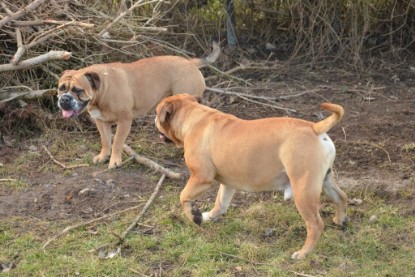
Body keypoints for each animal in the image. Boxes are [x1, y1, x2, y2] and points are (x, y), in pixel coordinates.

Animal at [58, 43, 221, 168]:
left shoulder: (124, 121)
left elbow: (117, 142)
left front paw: (115, 161)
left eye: (78, 90)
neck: (102, 89)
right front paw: (103, 156)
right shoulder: (101, 121)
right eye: (60, 88)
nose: (64, 99)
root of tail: (191, 62)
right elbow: (105, 140)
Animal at [156, 94, 348, 258]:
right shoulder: (228, 184)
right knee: (341, 197)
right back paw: (340, 221)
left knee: (315, 224)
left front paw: (194, 216)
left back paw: (303, 253)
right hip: (325, 180)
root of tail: (315, 128)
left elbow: (183, 196)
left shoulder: (201, 177)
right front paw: (208, 216)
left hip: (303, 190)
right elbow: (220, 204)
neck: (194, 117)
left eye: (157, 112)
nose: (153, 118)